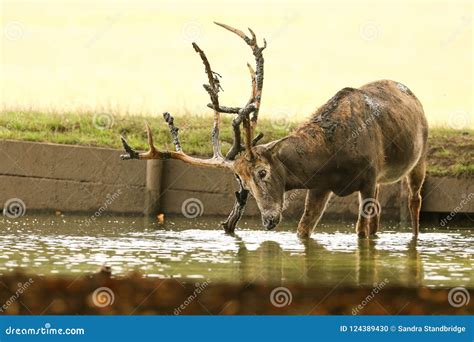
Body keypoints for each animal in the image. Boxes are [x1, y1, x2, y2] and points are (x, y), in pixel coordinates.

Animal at [120, 22, 428, 239]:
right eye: (241, 181)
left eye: (262, 172)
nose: (268, 221)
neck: (334, 157)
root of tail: (413, 95)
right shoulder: (321, 186)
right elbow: (303, 230)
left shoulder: (369, 175)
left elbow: (361, 232)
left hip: (419, 157)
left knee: (414, 200)